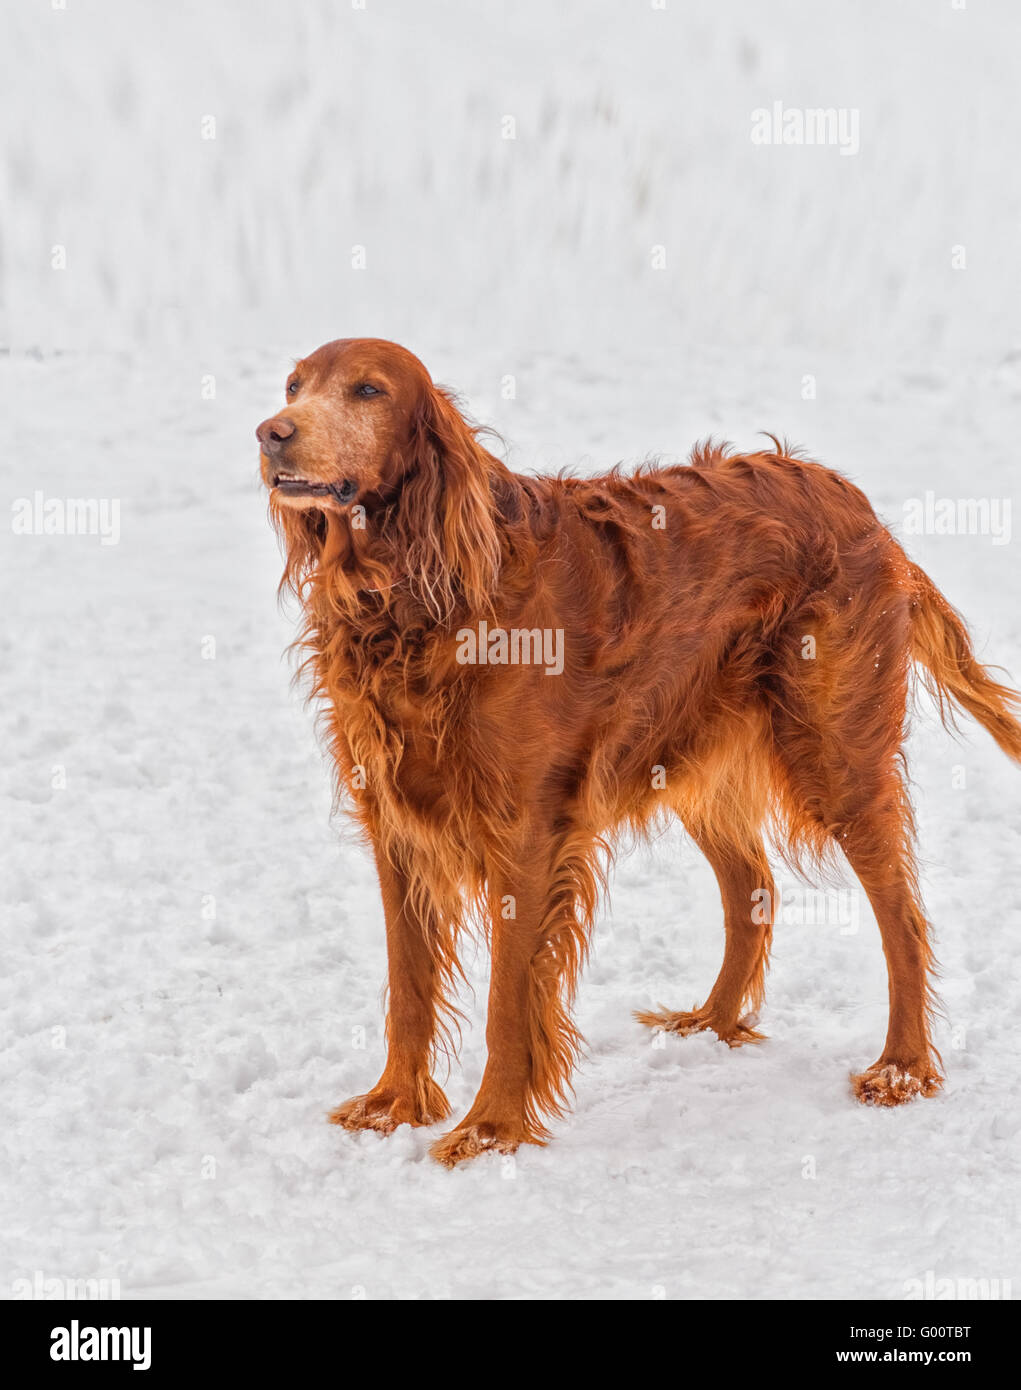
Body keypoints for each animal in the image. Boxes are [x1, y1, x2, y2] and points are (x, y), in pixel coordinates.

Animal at [256, 336, 1021, 1162]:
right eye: (294, 385)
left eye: (367, 390)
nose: (270, 433)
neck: (413, 594)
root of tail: (855, 504)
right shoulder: (395, 823)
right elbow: (407, 986)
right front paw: (393, 1105)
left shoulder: (526, 833)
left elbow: (506, 999)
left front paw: (490, 1128)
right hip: (688, 748)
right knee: (752, 887)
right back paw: (713, 1023)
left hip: (834, 752)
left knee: (901, 914)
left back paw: (902, 1068)